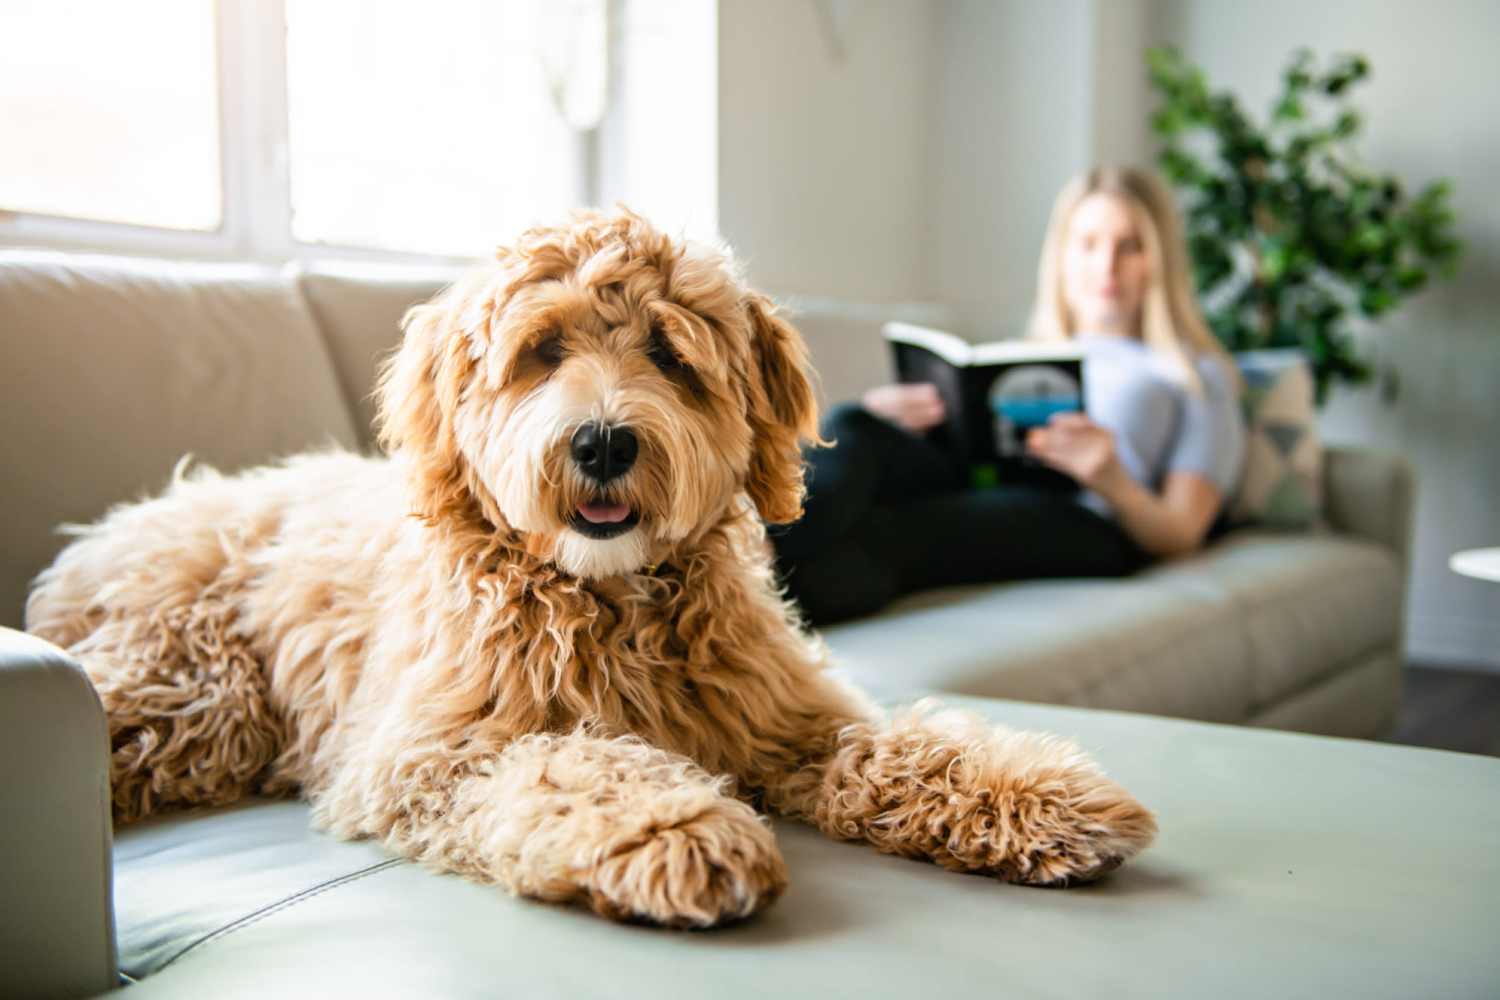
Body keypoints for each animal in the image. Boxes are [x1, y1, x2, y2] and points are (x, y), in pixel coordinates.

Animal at [26, 206, 1158, 929]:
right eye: (541, 351)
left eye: (669, 353)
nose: (605, 442)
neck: (610, 598)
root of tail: (117, 525)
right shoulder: (430, 753)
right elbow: (571, 763)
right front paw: (677, 826)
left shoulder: (790, 717)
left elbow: (902, 746)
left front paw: (1040, 793)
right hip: (195, 692)